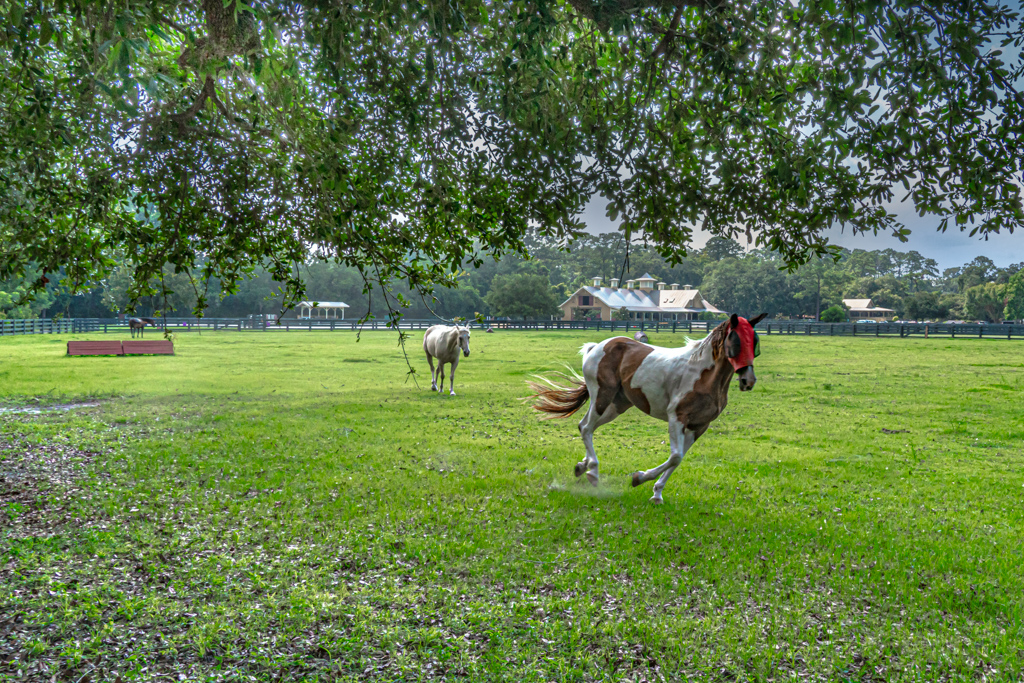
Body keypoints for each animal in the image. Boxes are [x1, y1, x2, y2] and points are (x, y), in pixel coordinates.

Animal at [528, 313, 761, 501]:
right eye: (736, 341)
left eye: (755, 344)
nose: (748, 381)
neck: (704, 375)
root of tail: (596, 347)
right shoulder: (676, 418)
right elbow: (675, 456)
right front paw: (639, 478)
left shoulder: (699, 426)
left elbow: (678, 460)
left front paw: (656, 494)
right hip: (602, 397)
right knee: (586, 427)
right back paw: (592, 472)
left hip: (617, 405)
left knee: (585, 426)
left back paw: (581, 466)